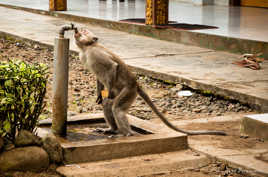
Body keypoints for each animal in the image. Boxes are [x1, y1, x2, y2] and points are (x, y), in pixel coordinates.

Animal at [74, 28, 227, 137]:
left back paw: (126, 134)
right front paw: (99, 94)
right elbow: (99, 78)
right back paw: (112, 129)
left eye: (85, 31)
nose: (78, 31)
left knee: (117, 108)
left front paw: (108, 90)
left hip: (129, 91)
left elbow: (113, 67)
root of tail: (136, 84)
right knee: (108, 105)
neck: (87, 48)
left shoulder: (96, 53)